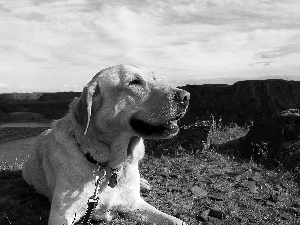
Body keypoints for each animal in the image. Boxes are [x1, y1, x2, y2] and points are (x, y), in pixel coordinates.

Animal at [22, 64, 189, 224]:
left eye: (154, 78)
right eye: (134, 82)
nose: (186, 96)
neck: (108, 164)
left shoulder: (135, 204)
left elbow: (176, 221)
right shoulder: (62, 215)